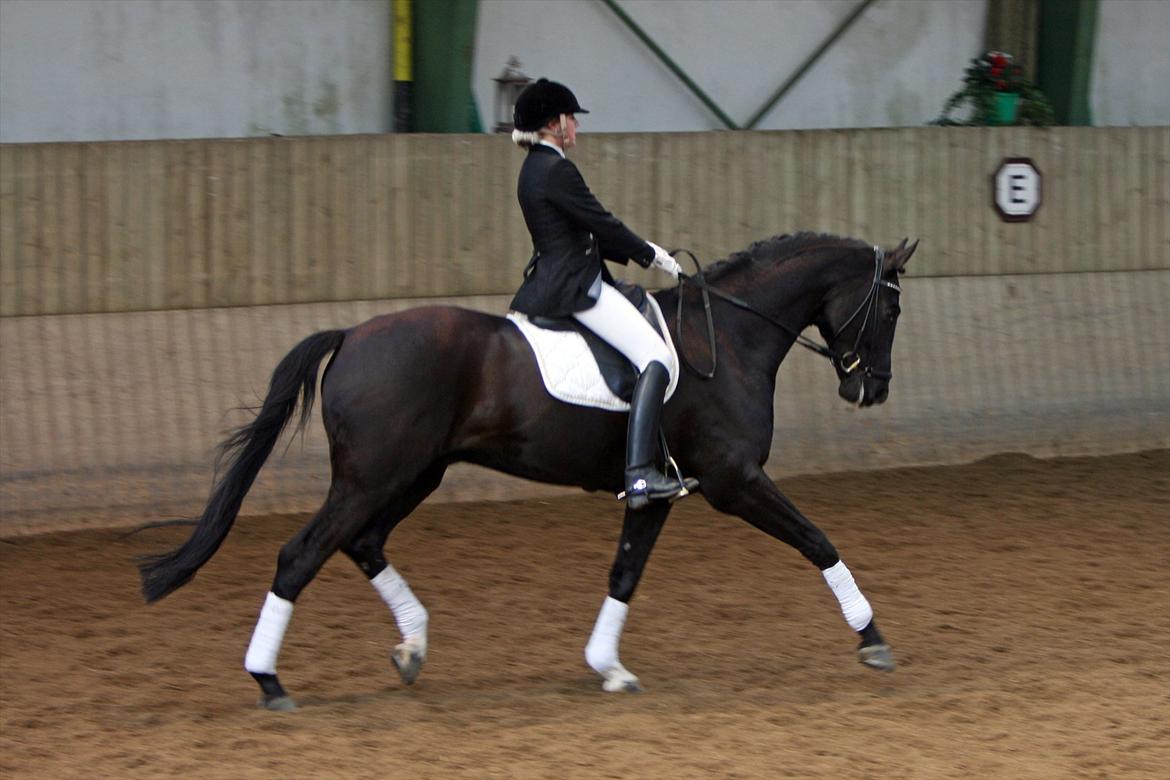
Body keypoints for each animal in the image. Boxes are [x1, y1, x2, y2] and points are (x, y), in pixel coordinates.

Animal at [141, 230, 917, 706]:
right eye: (889, 308)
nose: (872, 389)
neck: (724, 336)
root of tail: (353, 333)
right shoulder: (733, 481)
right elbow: (817, 540)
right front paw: (873, 640)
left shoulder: (658, 492)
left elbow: (625, 574)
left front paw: (608, 667)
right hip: (372, 478)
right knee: (301, 554)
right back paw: (270, 681)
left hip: (412, 475)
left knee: (361, 543)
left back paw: (411, 649)